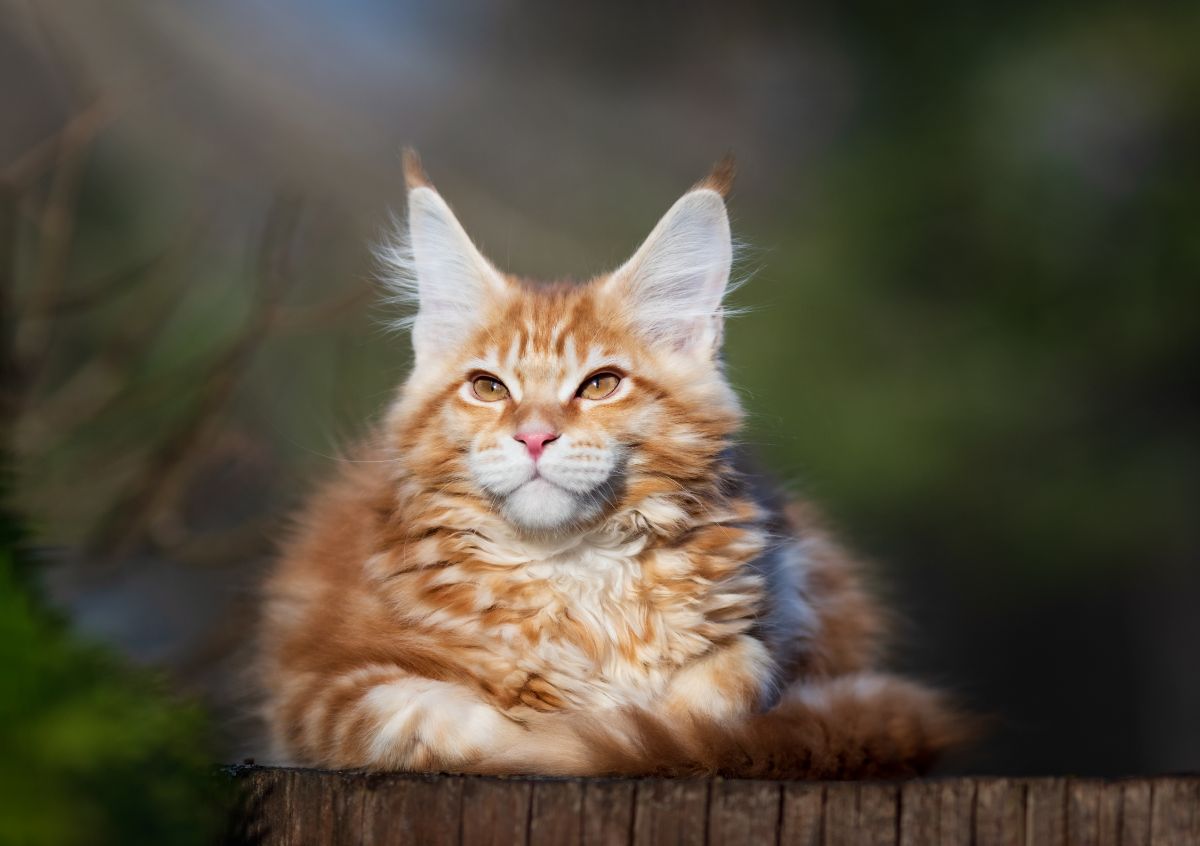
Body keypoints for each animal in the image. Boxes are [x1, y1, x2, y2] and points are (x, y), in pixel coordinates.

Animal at [258, 153, 969, 777]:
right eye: (489, 388)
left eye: (600, 385)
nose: (535, 436)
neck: (577, 573)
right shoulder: (322, 685)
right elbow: (450, 722)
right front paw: (565, 717)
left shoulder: (763, 616)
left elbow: (731, 682)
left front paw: (632, 721)